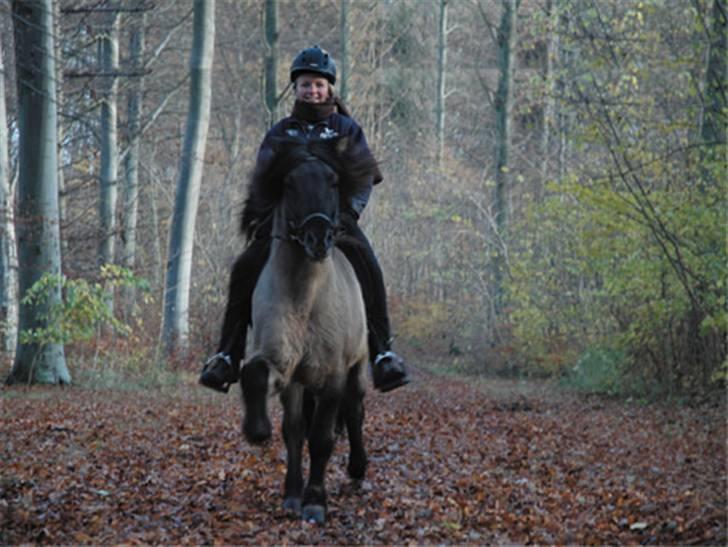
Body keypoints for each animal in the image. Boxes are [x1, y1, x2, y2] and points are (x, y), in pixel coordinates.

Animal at [239, 136, 376, 524]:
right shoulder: (285, 369)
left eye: (334, 182)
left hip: (357, 366)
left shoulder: (333, 375)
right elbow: (291, 429)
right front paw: (290, 492)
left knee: (355, 409)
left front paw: (315, 502)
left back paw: (357, 470)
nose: (318, 239)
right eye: (289, 184)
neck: (305, 300)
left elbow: (322, 437)